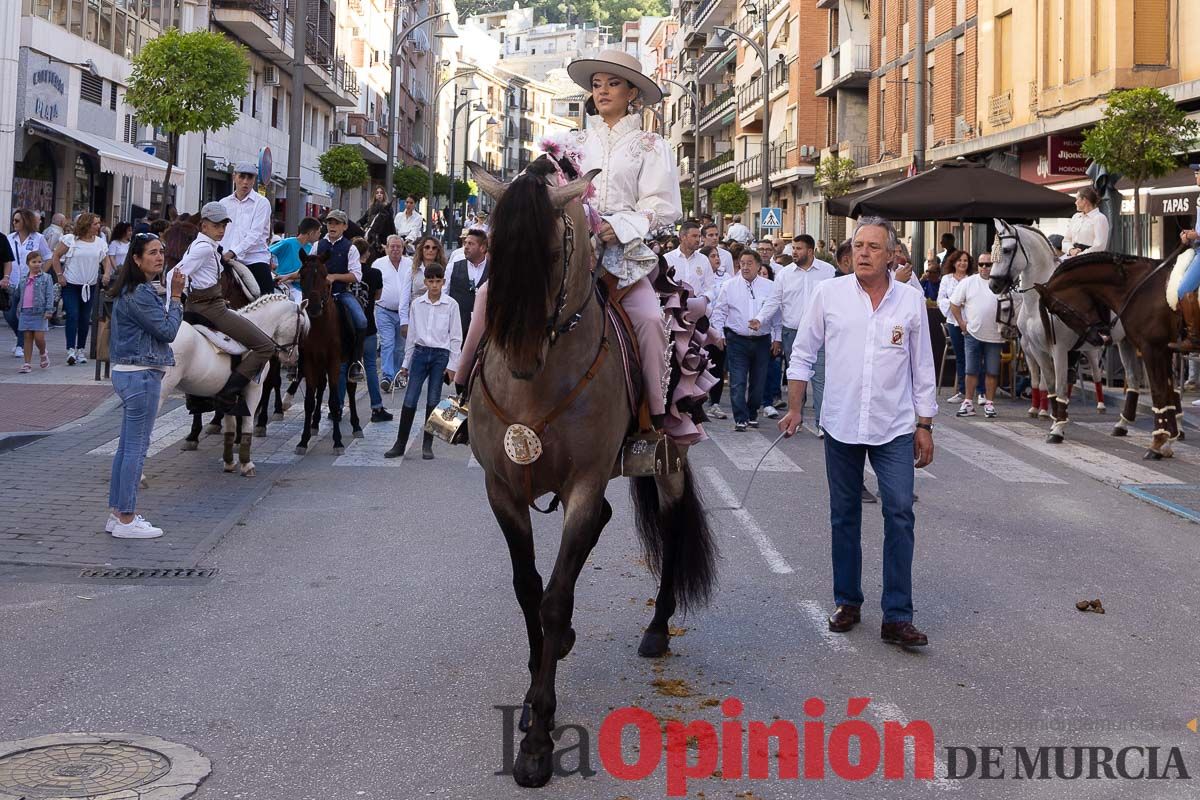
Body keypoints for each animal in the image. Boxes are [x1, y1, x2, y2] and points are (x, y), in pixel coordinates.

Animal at [154, 293, 309, 474]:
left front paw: (229, 461)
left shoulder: (228, 394)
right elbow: (247, 422)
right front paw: (246, 464)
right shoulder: (254, 389)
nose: (294, 358)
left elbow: (230, 425)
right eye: (302, 327)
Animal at [465, 159, 710, 791]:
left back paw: (657, 628)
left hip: (669, 457)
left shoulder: (582, 484)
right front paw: (536, 680)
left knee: (673, 526)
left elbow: (553, 598)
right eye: (493, 251)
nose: (520, 357)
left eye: (554, 253)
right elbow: (529, 590)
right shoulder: (501, 489)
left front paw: (537, 742)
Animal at [988, 219, 1147, 443]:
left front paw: (1057, 428)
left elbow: (1060, 385)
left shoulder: (1059, 349)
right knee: (1133, 379)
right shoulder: (1037, 349)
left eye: (1007, 250)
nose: (994, 284)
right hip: (1124, 342)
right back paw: (1122, 425)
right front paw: (1055, 419)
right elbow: (1049, 384)